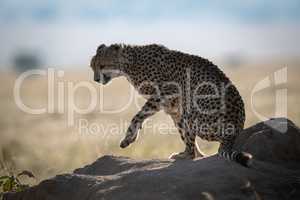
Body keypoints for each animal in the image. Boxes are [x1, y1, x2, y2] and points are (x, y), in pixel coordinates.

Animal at [90, 43, 252, 167]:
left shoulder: (166, 93)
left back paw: (183, 155)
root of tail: (234, 131)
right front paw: (199, 154)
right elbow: (183, 133)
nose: (96, 79)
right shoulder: (173, 108)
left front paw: (129, 137)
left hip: (192, 109)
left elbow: (138, 116)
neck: (129, 63)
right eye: (92, 66)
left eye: (102, 65)